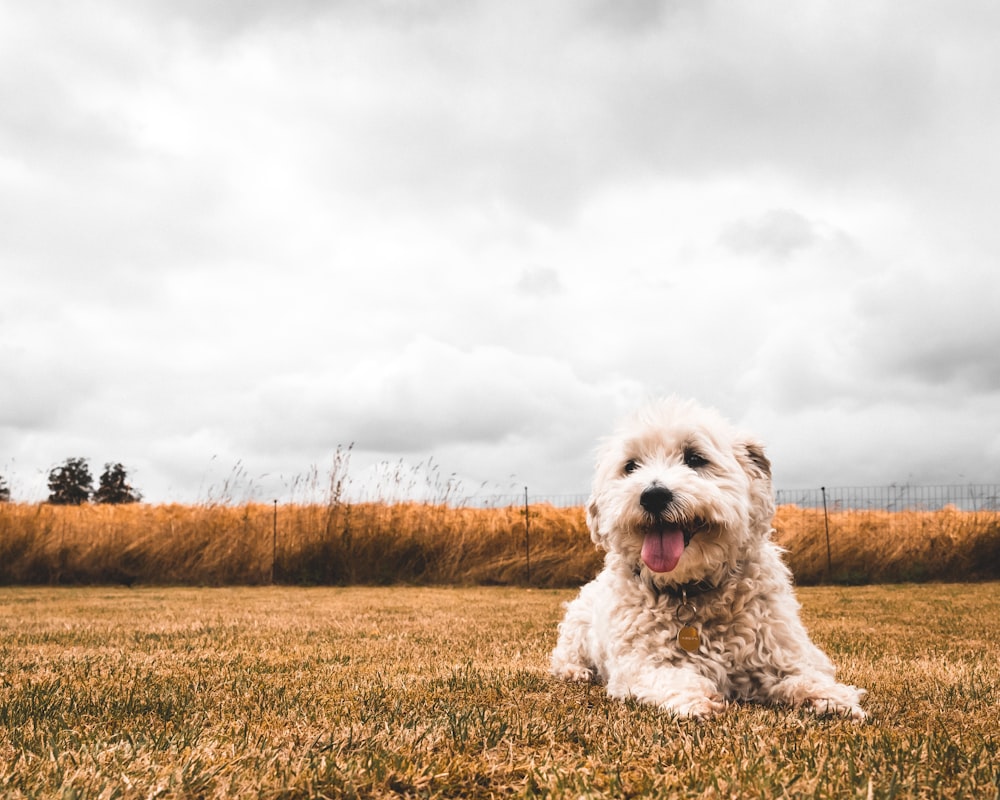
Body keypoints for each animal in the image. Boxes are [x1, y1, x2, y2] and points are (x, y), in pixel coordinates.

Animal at [552, 398, 864, 720]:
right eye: (630, 466)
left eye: (695, 458)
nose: (653, 495)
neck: (689, 590)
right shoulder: (639, 664)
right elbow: (671, 677)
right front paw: (696, 700)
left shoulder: (785, 652)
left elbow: (804, 674)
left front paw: (831, 697)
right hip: (575, 635)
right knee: (564, 658)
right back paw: (576, 671)